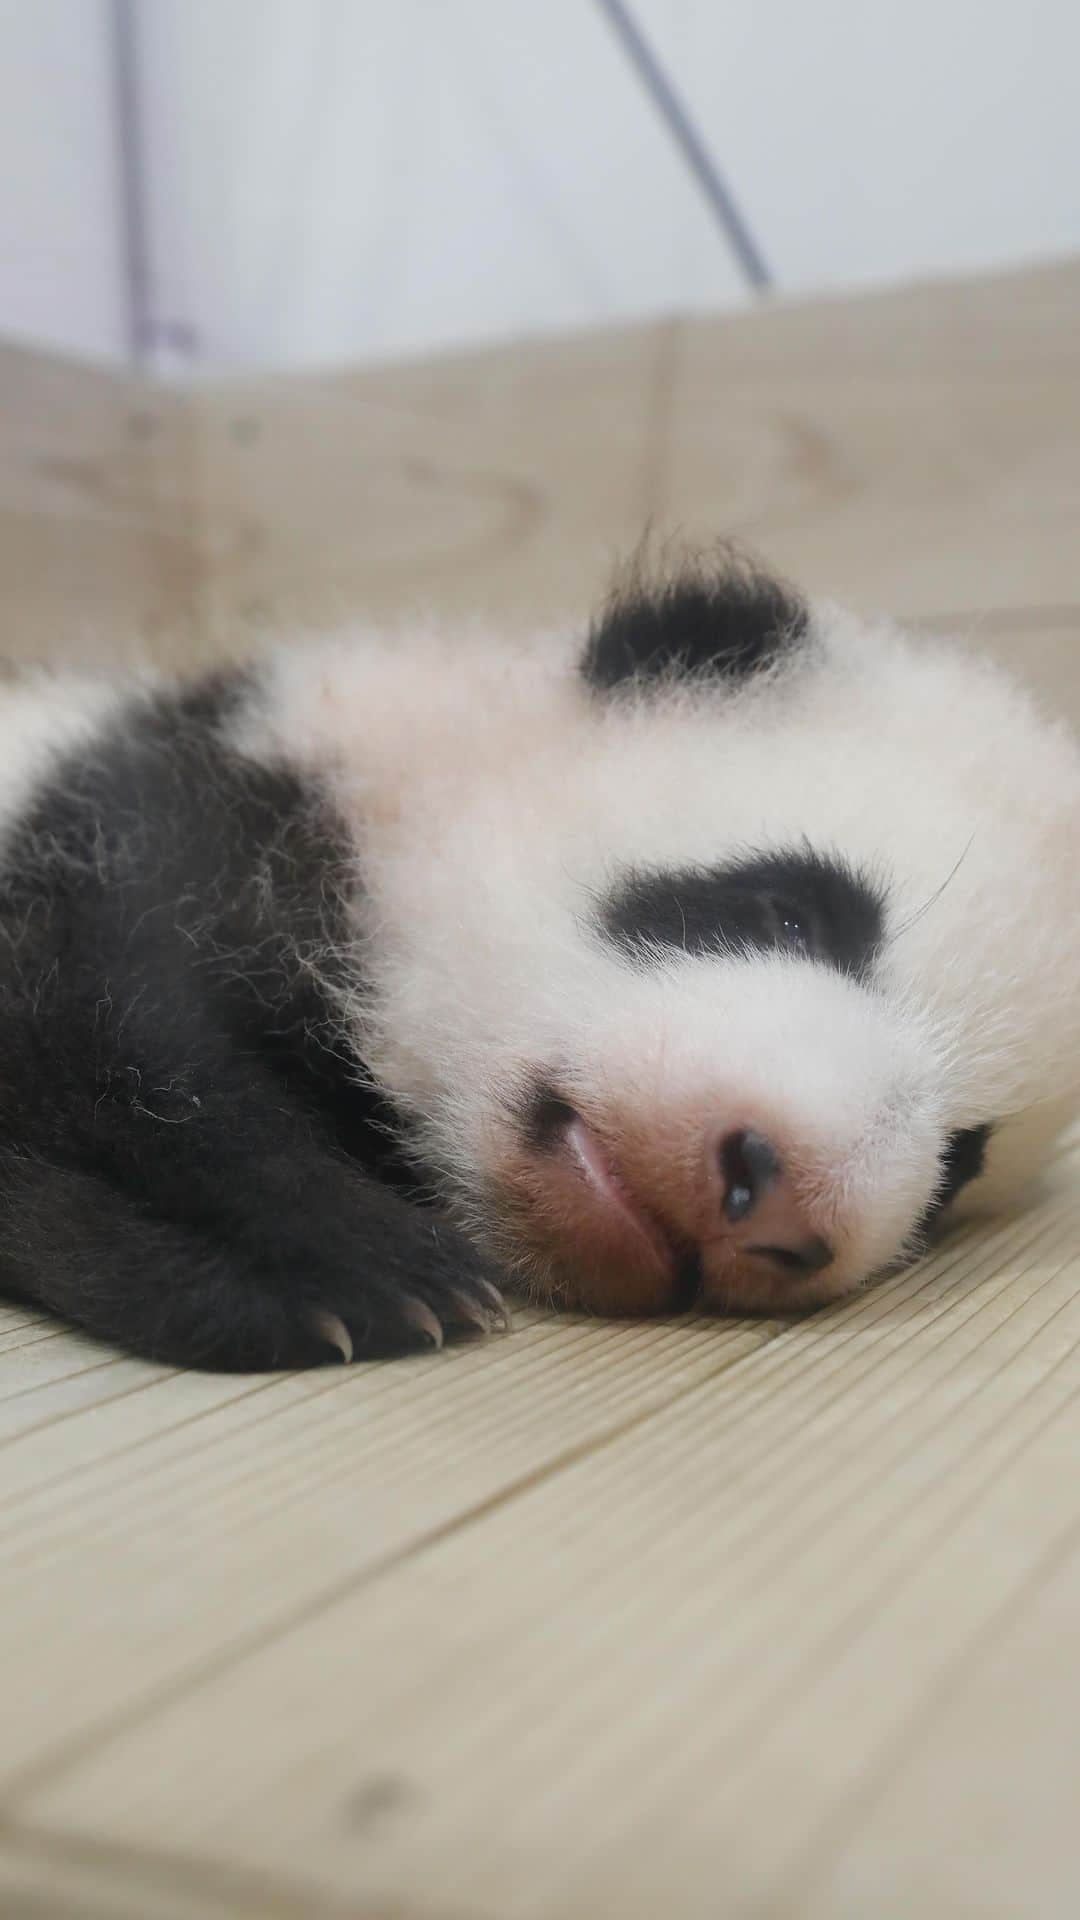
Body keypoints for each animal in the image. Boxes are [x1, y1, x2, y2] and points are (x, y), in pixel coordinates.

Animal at [2, 560, 1076, 1382]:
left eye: (961, 1161)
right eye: (789, 911)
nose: (777, 1194)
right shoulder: (175, 801)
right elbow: (105, 1023)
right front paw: (339, 1266)